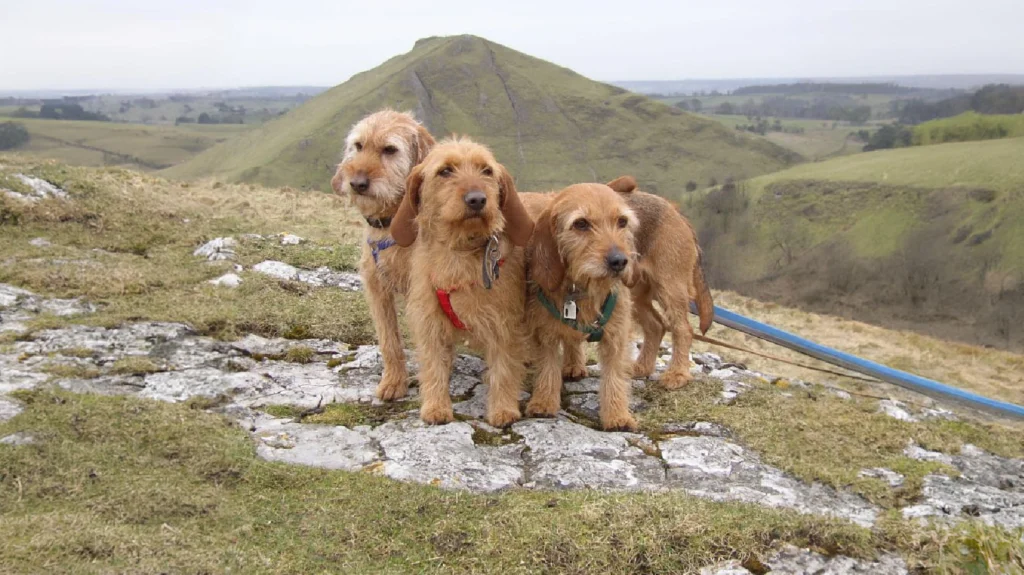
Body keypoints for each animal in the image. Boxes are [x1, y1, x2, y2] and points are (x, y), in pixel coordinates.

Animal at [331, 109, 436, 401]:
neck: (392, 224)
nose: (357, 183)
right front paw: (393, 381)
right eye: (358, 146)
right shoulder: (377, 288)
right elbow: (389, 340)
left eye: (390, 149)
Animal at [389, 138, 536, 425]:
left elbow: (504, 368)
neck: (460, 255)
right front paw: (436, 406)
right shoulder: (430, 321)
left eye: (486, 171)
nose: (477, 199)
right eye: (445, 171)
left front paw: (503, 409)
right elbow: (433, 365)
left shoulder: (505, 325)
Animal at [520, 183, 638, 429]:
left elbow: (614, 375)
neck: (582, 290)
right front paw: (544, 401)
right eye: (581, 224)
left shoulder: (617, 334)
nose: (620, 261)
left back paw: (574, 365)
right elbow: (547, 366)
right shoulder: (544, 331)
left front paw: (617, 415)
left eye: (622, 221)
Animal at [602, 175, 716, 388]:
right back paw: (642, 367)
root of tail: (676, 212)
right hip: (636, 295)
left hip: (670, 287)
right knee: (656, 326)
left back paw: (678, 374)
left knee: (683, 329)